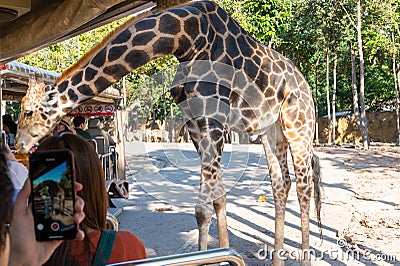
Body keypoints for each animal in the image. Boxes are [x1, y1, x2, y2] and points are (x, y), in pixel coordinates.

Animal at [15, 1, 322, 264]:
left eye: (27, 112)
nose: (18, 144)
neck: (184, 38)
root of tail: (306, 86)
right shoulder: (195, 126)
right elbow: (217, 200)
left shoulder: (213, 122)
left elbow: (203, 209)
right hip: (271, 130)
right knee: (281, 184)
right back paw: (277, 260)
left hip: (299, 124)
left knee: (304, 186)